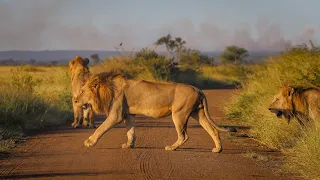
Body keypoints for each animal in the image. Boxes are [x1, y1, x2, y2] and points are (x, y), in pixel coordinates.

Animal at [74, 71, 236, 153]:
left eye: (82, 91)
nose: (75, 101)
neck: (107, 88)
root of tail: (197, 89)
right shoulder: (128, 114)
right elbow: (130, 132)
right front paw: (129, 145)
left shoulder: (116, 115)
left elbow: (101, 129)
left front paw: (89, 142)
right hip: (198, 113)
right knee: (213, 130)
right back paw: (218, 149)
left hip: (179, 114)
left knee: (184, 135)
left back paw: (171, 147)